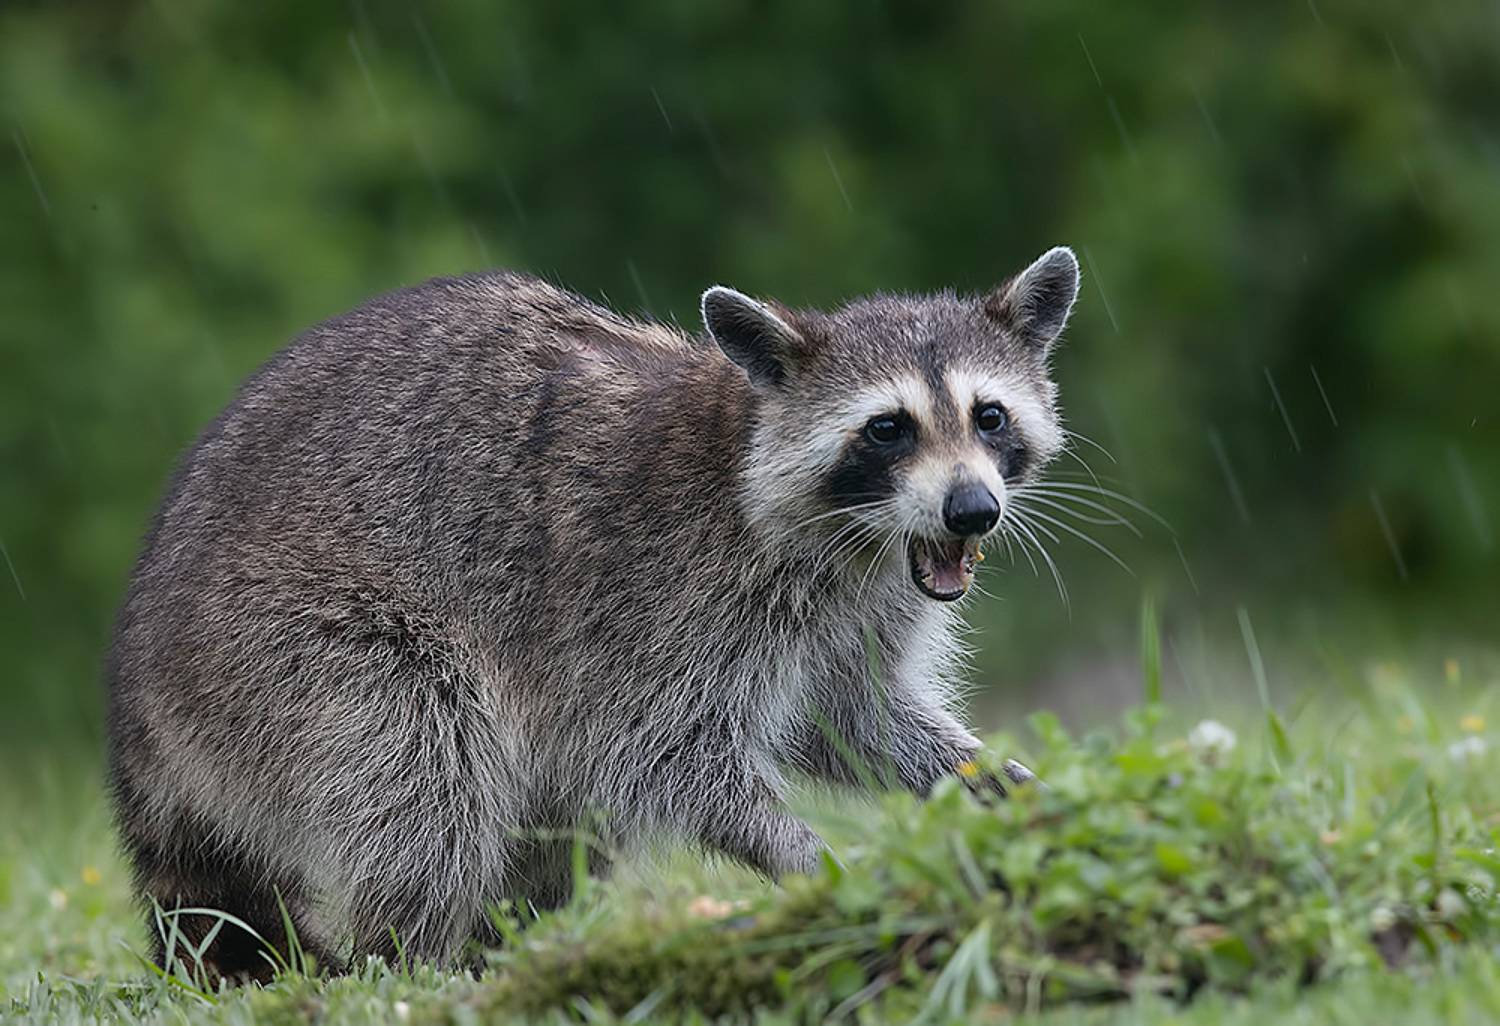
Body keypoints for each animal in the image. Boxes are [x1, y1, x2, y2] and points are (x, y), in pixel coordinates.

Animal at [106, 246, 1080, 979]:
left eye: (989, 417)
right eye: (888, 428)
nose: (971, 510)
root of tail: (132, 693)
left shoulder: (858, 606)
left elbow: (853, 715)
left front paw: (994, 780)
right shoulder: (655, 598)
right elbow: (665, 758)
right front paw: (812, 860)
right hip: (278, 650)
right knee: (426, 765)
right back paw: (415, 961)